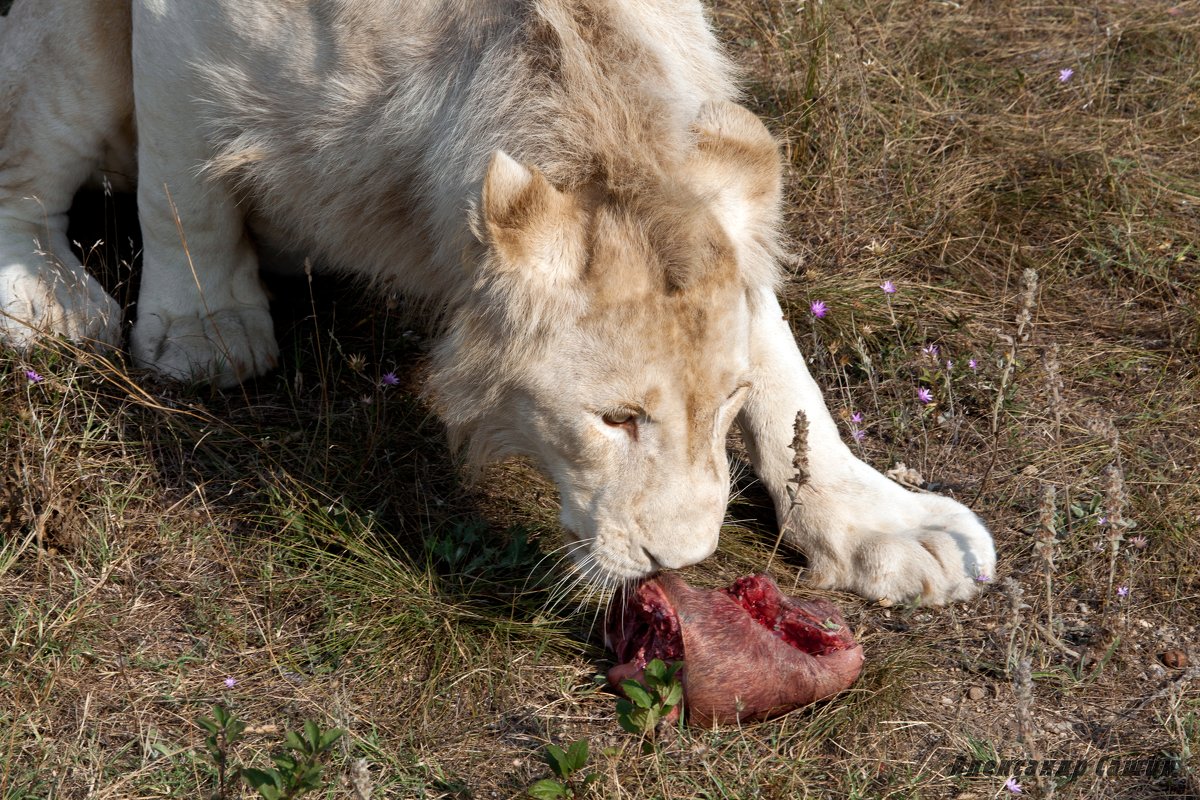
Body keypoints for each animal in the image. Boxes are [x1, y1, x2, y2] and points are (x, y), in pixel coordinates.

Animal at [0, 0, 993, 599]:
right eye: (615, 419)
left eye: (727, 409)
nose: (682, 564)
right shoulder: (175, 27)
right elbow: (183, 186)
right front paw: (202, 332)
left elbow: (785, 366)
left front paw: (882, 524)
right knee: (24, 155)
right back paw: (53, 302)